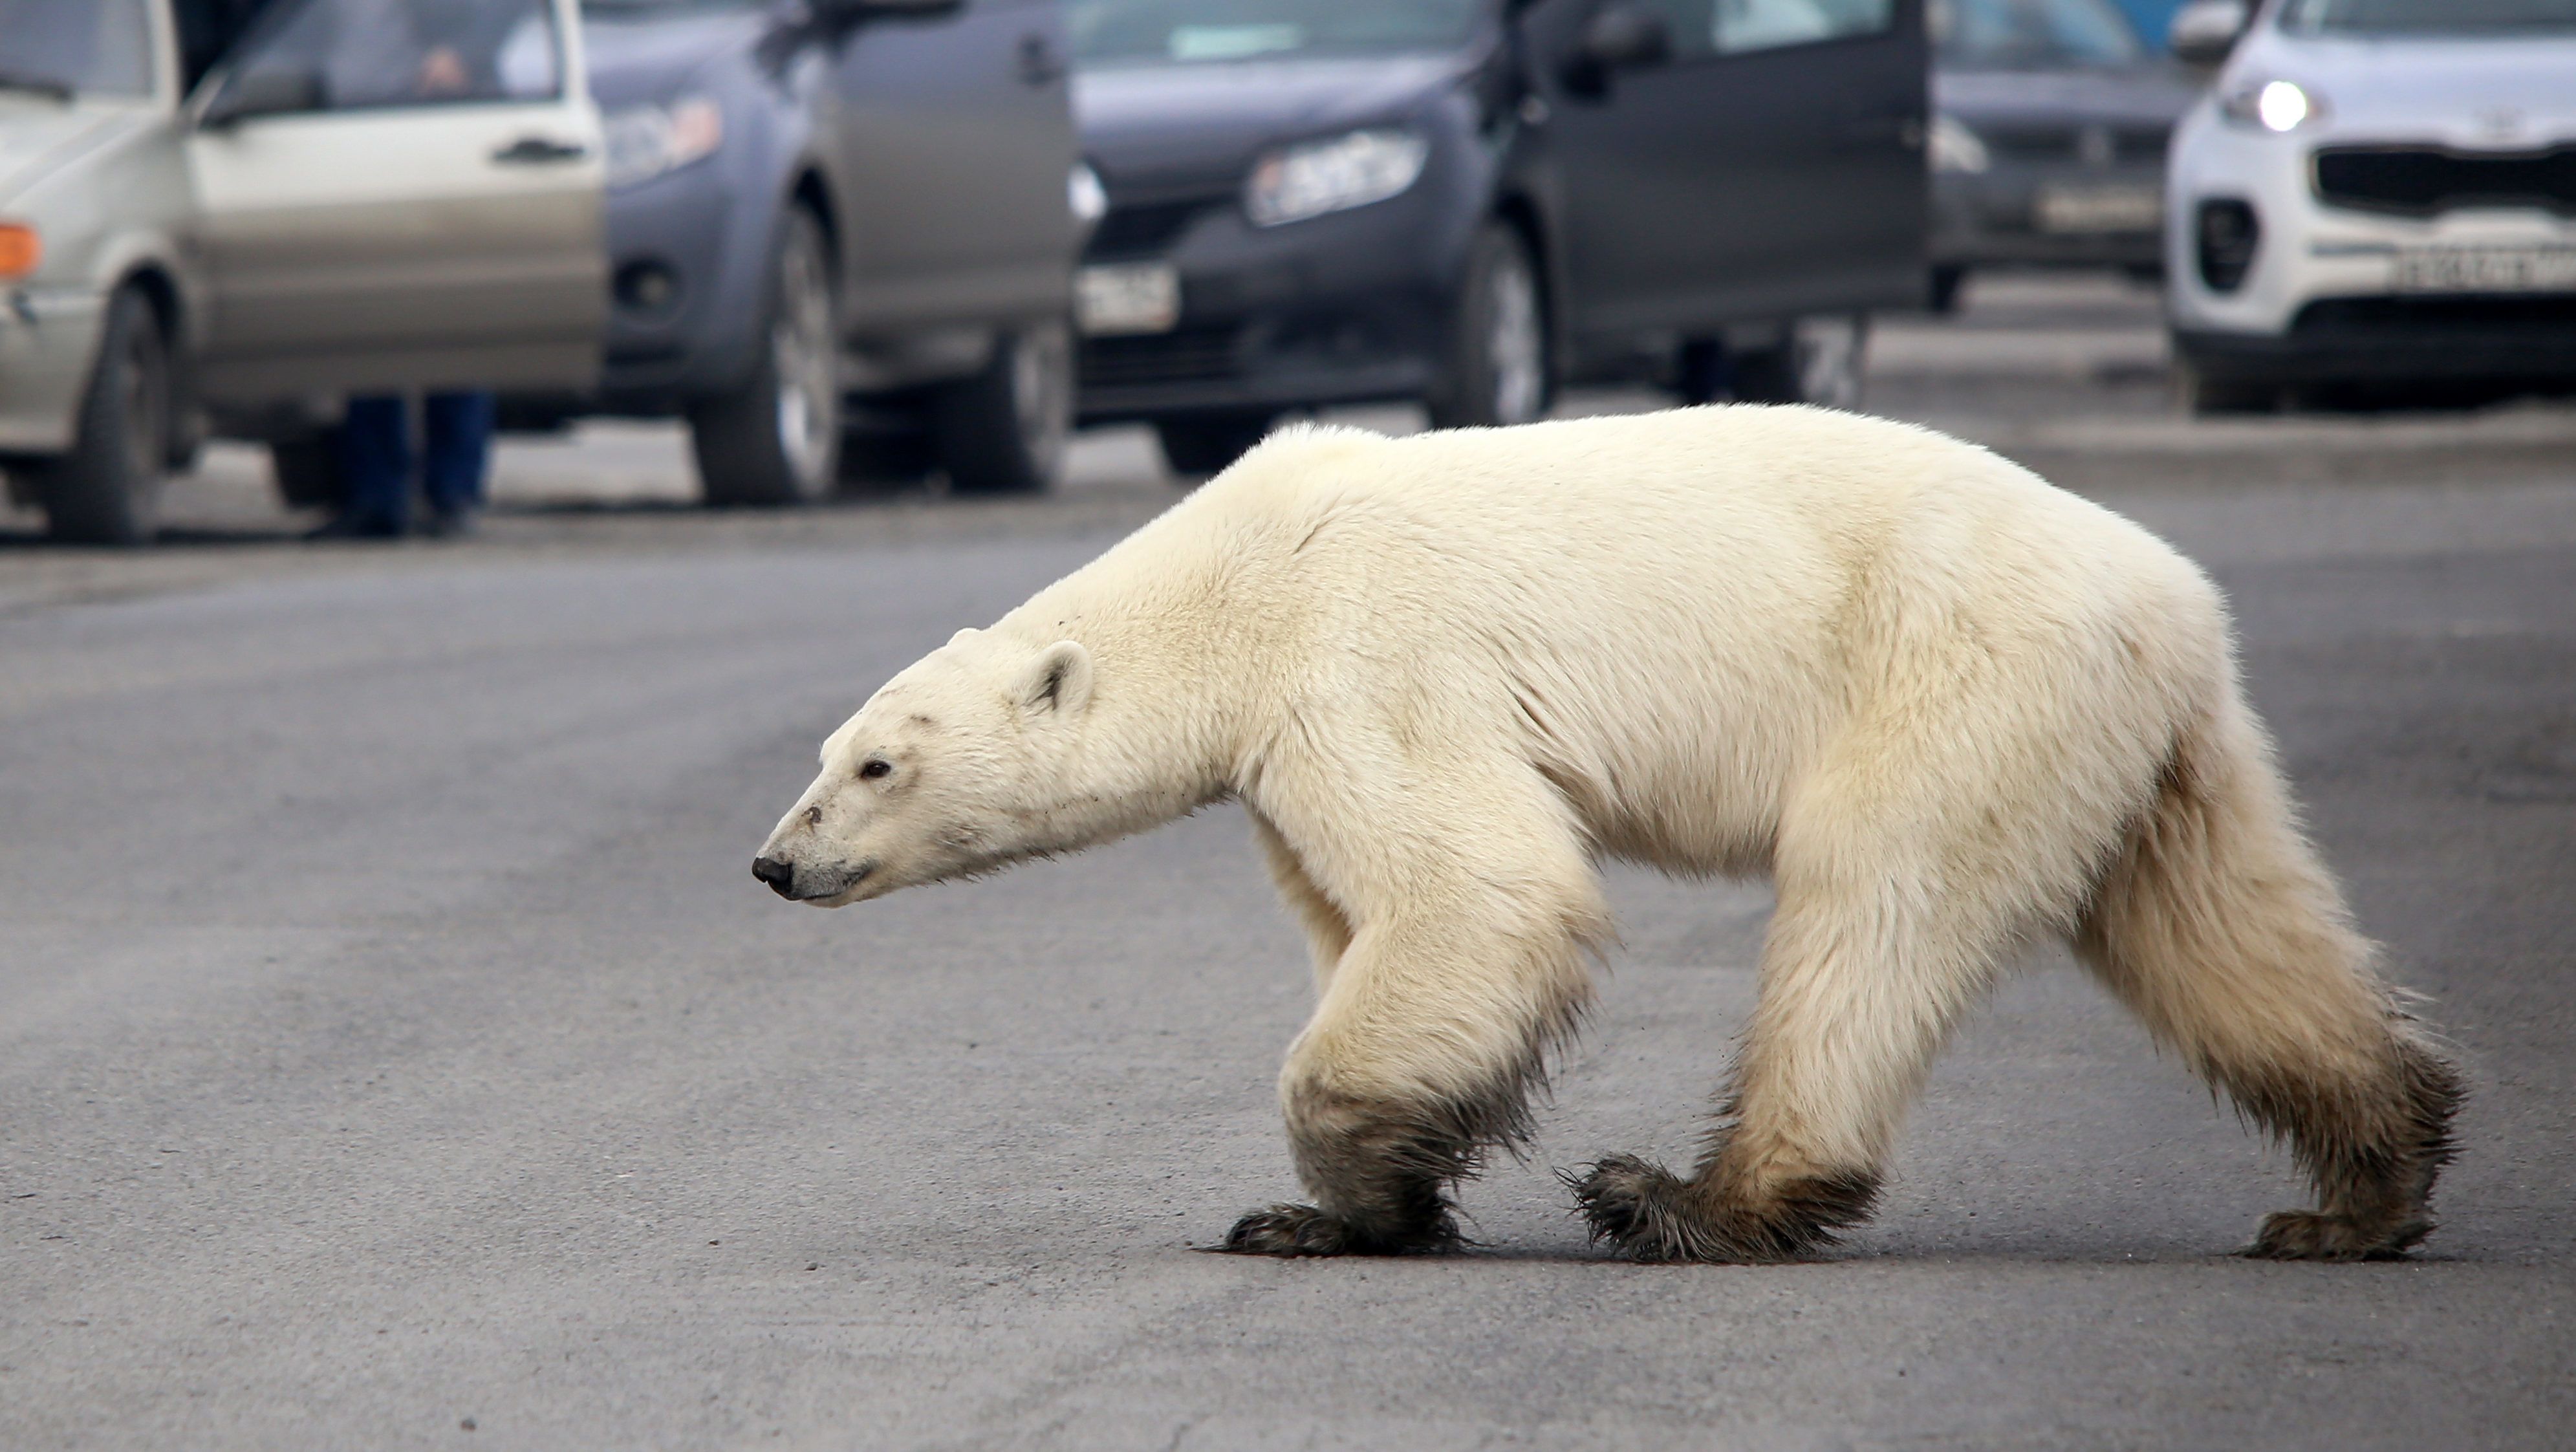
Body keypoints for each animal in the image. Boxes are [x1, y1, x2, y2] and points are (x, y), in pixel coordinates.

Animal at [752, 406, 2462, 1261]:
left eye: (877, 763)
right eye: (826, 754)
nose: (774, 861)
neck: (1231, 574)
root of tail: (2174, 602)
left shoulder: (1363, 659)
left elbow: (1478, 887)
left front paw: (1341, 1188)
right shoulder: (1286, 745)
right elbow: (1359, 913)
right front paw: (1338, 1207)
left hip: (1955, 675)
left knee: (1869, 902)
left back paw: (1692, 1197)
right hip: (2140, 741)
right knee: (2216, 925)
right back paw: (2355, 1192)